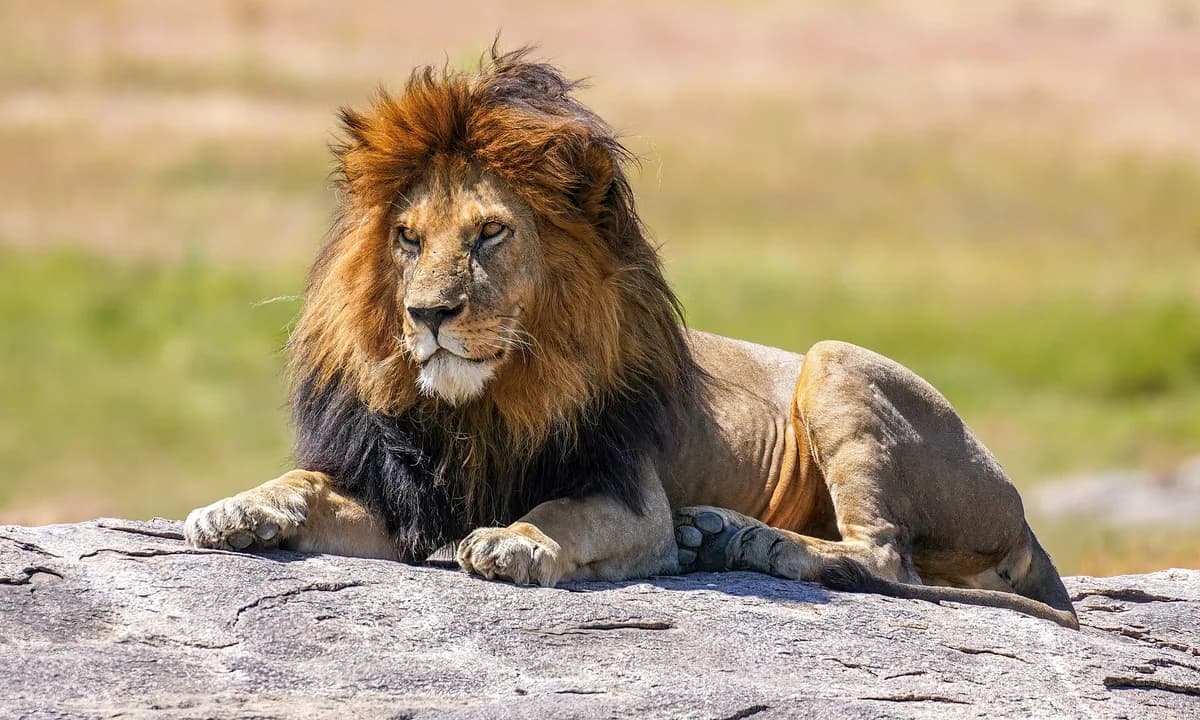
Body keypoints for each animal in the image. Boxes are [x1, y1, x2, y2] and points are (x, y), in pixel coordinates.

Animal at [184, 49, 1079, 629]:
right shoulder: (403, 500)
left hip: (835, 364)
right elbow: (303, 482)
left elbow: (561, 514)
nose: (427, 314)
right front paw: (238, 509)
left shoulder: (629, 495)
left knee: (883, 557)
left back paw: (737, 538)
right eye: (406, 238)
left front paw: (515, 541)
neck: (483, 407)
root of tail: (1022, 515)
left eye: (490, 233)